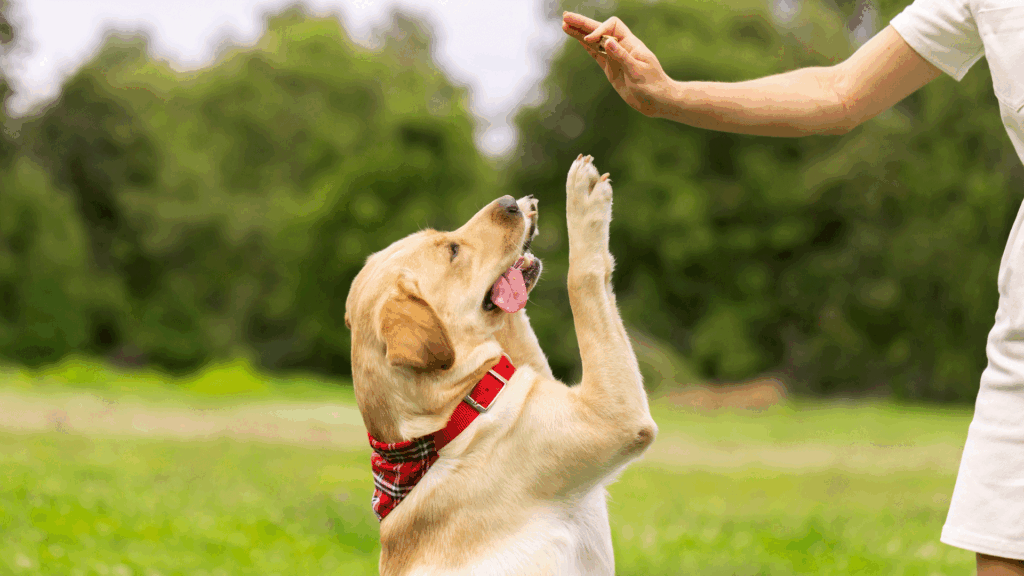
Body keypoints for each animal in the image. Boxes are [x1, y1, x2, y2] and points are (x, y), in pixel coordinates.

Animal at [344, 155, 655, 573]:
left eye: (448, 236)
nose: (510, 201)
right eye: (453, 250)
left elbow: (517, 326)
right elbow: (583, 278)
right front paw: (584, 199)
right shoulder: (613, 416)